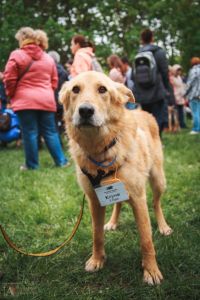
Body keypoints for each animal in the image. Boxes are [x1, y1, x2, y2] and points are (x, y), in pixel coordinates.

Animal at [59, 71, 172, 284]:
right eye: (75, 89)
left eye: (102, 89)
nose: (85, 111)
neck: (100, 151)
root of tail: (143, 112)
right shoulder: (94, 200)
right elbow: (97, 234)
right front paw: (97, 260)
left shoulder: (138, 198)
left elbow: (146, 239)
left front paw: (151, 270)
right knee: (118, 204)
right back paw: (112, 222)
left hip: (158, 180)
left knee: (156, 203)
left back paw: (163, 226)